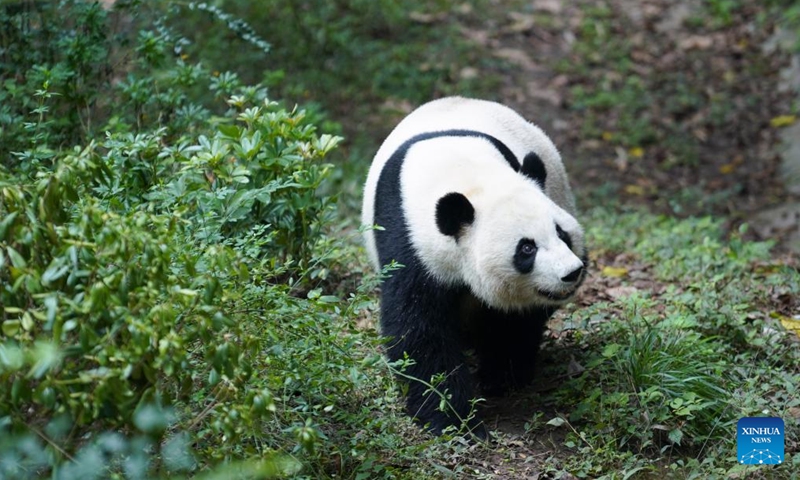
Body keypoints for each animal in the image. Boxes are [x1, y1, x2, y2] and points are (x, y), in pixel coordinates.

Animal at [362, 95, 588, 436]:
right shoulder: (407, 239)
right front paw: (450, 417)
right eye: (527, 248)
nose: (571, 273)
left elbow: (511, 320)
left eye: (562, 234)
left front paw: (500, 376)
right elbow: (418, 328)